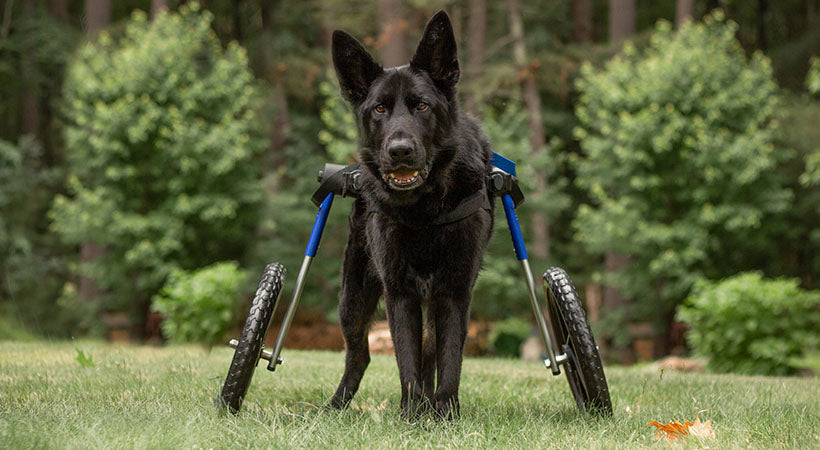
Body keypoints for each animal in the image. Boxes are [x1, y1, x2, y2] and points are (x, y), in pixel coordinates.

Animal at [328, 11, 494, 418]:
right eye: (379, 109)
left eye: (422, 106)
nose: (400, 150)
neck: (425, 211)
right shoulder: (399, 291)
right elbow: (406, 359)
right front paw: (411, 415)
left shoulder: (454, 292)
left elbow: (448, 360)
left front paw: (445, 414)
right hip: (353, 299)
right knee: (359, 355)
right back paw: (335, 406)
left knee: (430, 352)